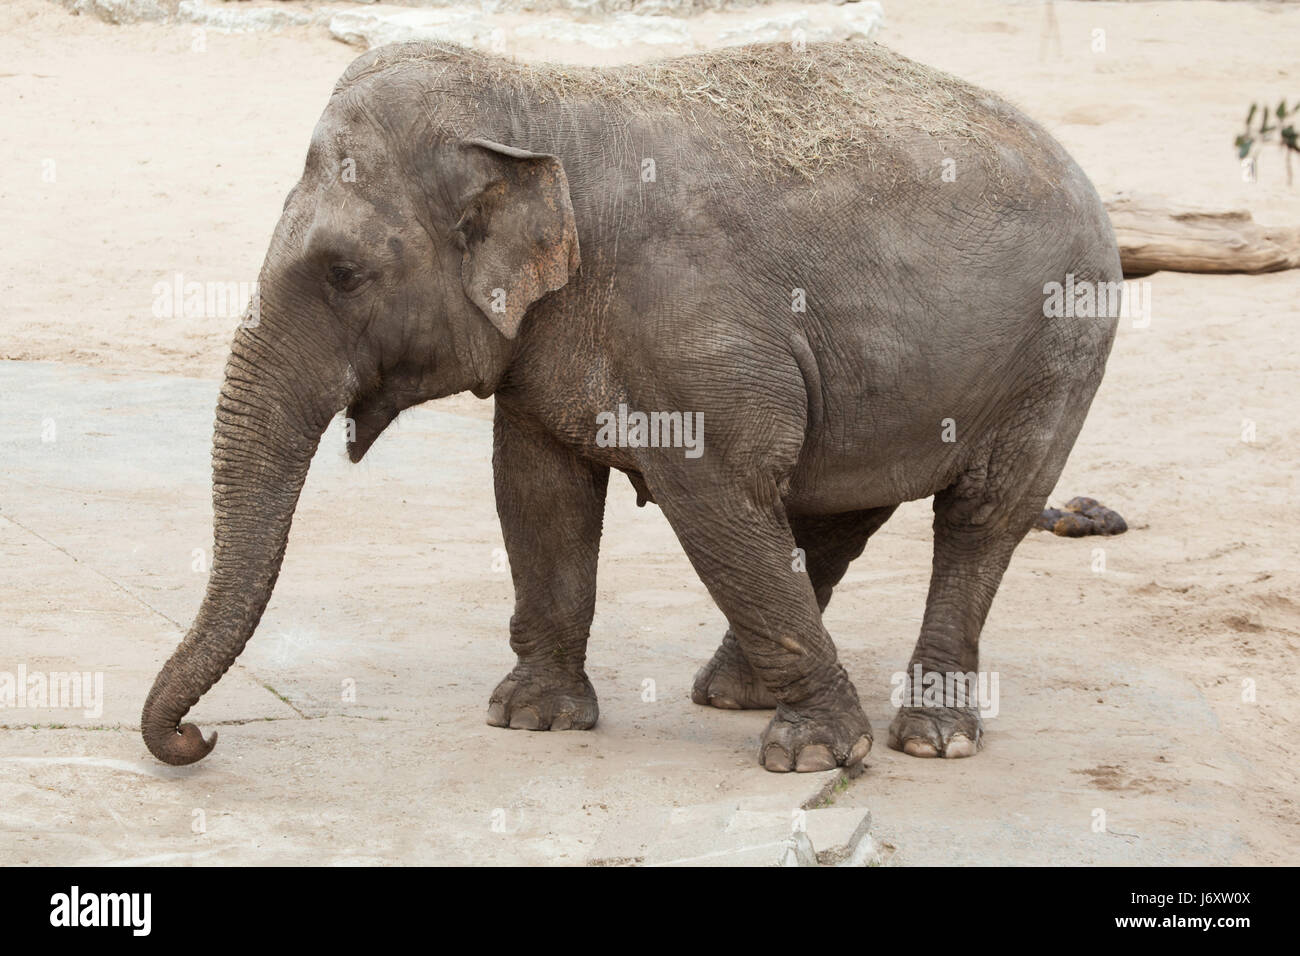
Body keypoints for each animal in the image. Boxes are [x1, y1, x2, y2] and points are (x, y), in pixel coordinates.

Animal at [139, 39, 1118, 780]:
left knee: (981, 516)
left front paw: (814, 758)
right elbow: (537, 491)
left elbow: (715, 499)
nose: (198, 736)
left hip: (1061, 348)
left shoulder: (701, 338)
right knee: (838, 508)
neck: (536, 101)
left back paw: (930, 738)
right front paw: (532, 721)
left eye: (343, 273)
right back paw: (734, 693)